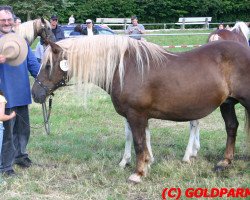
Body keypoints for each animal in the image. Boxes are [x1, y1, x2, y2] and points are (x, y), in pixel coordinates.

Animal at [31, 35, 250, 183]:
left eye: (48, 65)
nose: (35, 94)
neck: (124, 69)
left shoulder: (136, 114)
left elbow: (138, 142)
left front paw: (137, 173)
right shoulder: (135, 116)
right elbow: (141, 139)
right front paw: (145, 162)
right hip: (227, 103)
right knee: (231, 127)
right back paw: (225, 162)